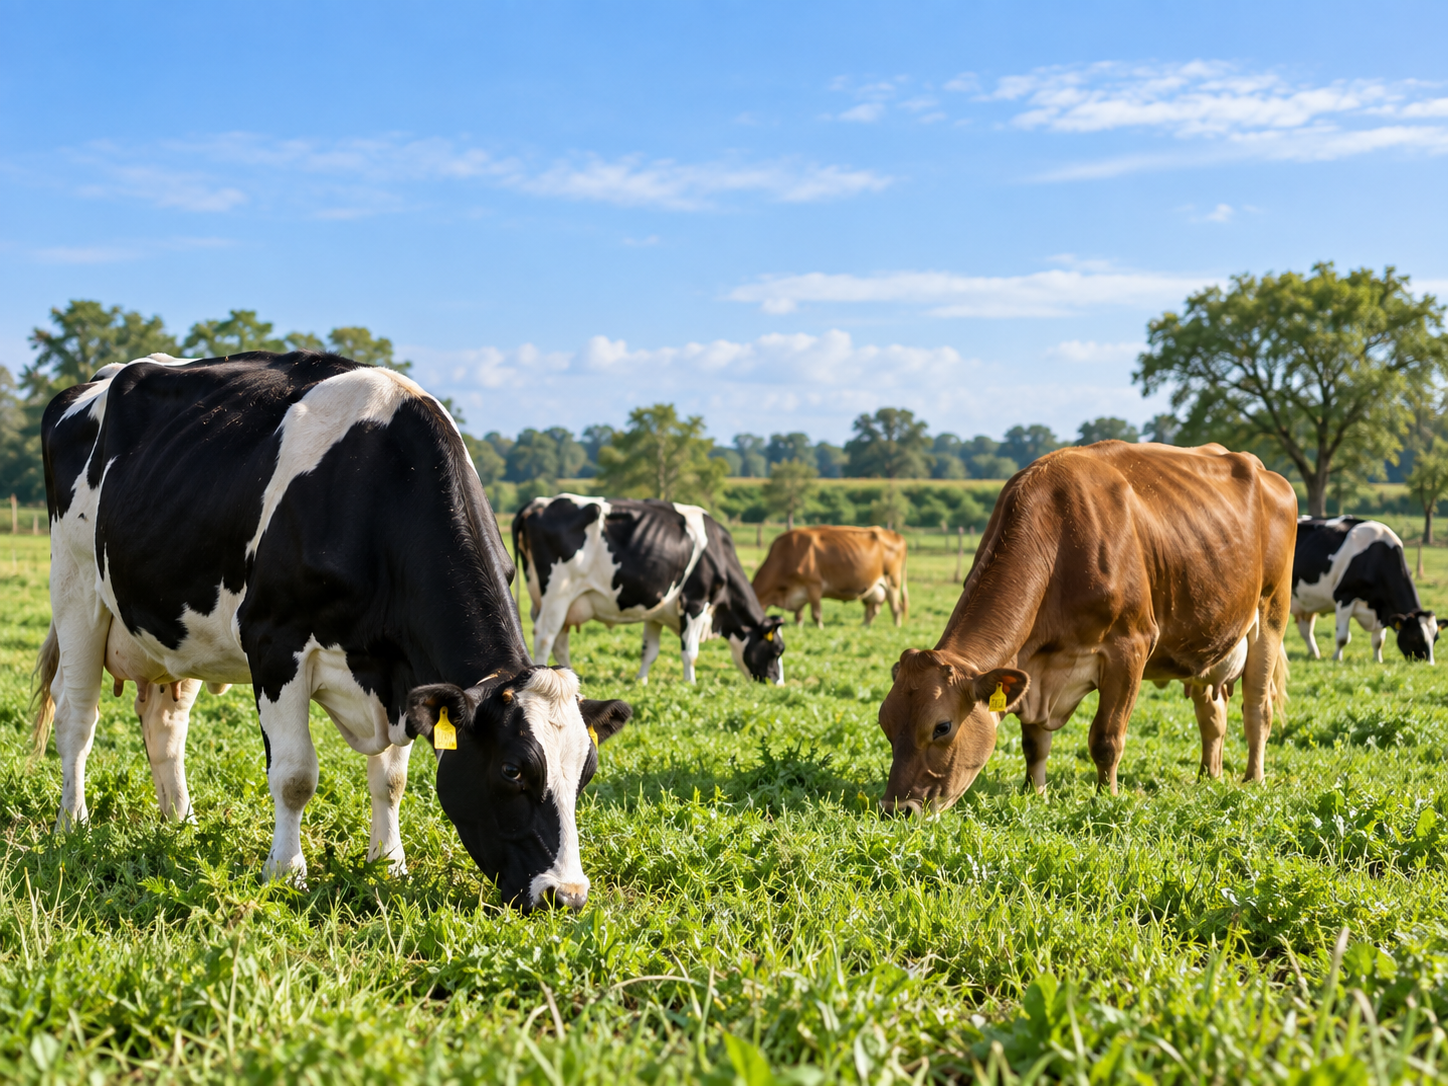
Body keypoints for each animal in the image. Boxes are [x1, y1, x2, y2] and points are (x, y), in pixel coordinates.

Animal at [32, 351, 631, 911]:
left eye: (587, 774)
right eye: (512, 770)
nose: (567, 895)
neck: (379, 488)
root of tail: (105, 376)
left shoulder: (402, 677)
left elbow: (390, 779)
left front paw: (389, 864)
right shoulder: (274, 642)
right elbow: (296, 775)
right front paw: (286, 873)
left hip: (174, 626)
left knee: (165, 726)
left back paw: (181, 824)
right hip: (76, 589)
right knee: (78, 718)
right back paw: (72, 825)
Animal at [513, 494, 785, 684]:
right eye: (777, 650)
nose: (778, 683)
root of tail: (540, 503)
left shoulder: (656, 612)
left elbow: (650, 651)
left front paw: (641, 681)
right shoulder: (694, 603)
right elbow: (690, 652)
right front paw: (690, 684)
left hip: (565, 603)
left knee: (560, 642)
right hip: (558, 593)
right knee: (545, 637)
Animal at [751, 525, 908, 628]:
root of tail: (896, 535)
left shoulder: (813, 585)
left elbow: (816, 614)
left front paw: (820, 628)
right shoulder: (798, 591)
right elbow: (799, 615)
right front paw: (799, 628)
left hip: (892, 581)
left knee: (896, 608)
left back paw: (896, 627)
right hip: (873, 588)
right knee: (872, 610)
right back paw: (864, 626)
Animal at [877, 441, 1296, 814]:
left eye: (942, 727)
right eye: (885, 722)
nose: (897, 809)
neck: (1058, 537)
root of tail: (1264, 470)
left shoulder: (1130, 646)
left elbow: (1106, 739)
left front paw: (1106, 798)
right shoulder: (1033, 670)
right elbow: (1034, 743)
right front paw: (1034, 793)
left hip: (1271, 614)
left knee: (1257, 708)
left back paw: (1252, 779)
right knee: (1212, 715)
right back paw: (1209, 776)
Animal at [1291, 516, 1443, 663]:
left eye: (1436, 638)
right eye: (1415, 637)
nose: (1428, 663)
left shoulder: (1382, 608)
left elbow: (1378, 641)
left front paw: (1378, 660)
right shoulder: (1345, 597)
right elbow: (1342, 637)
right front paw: (1336, 658)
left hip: (1305, 603)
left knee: (1306, 630)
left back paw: (1314, 654)